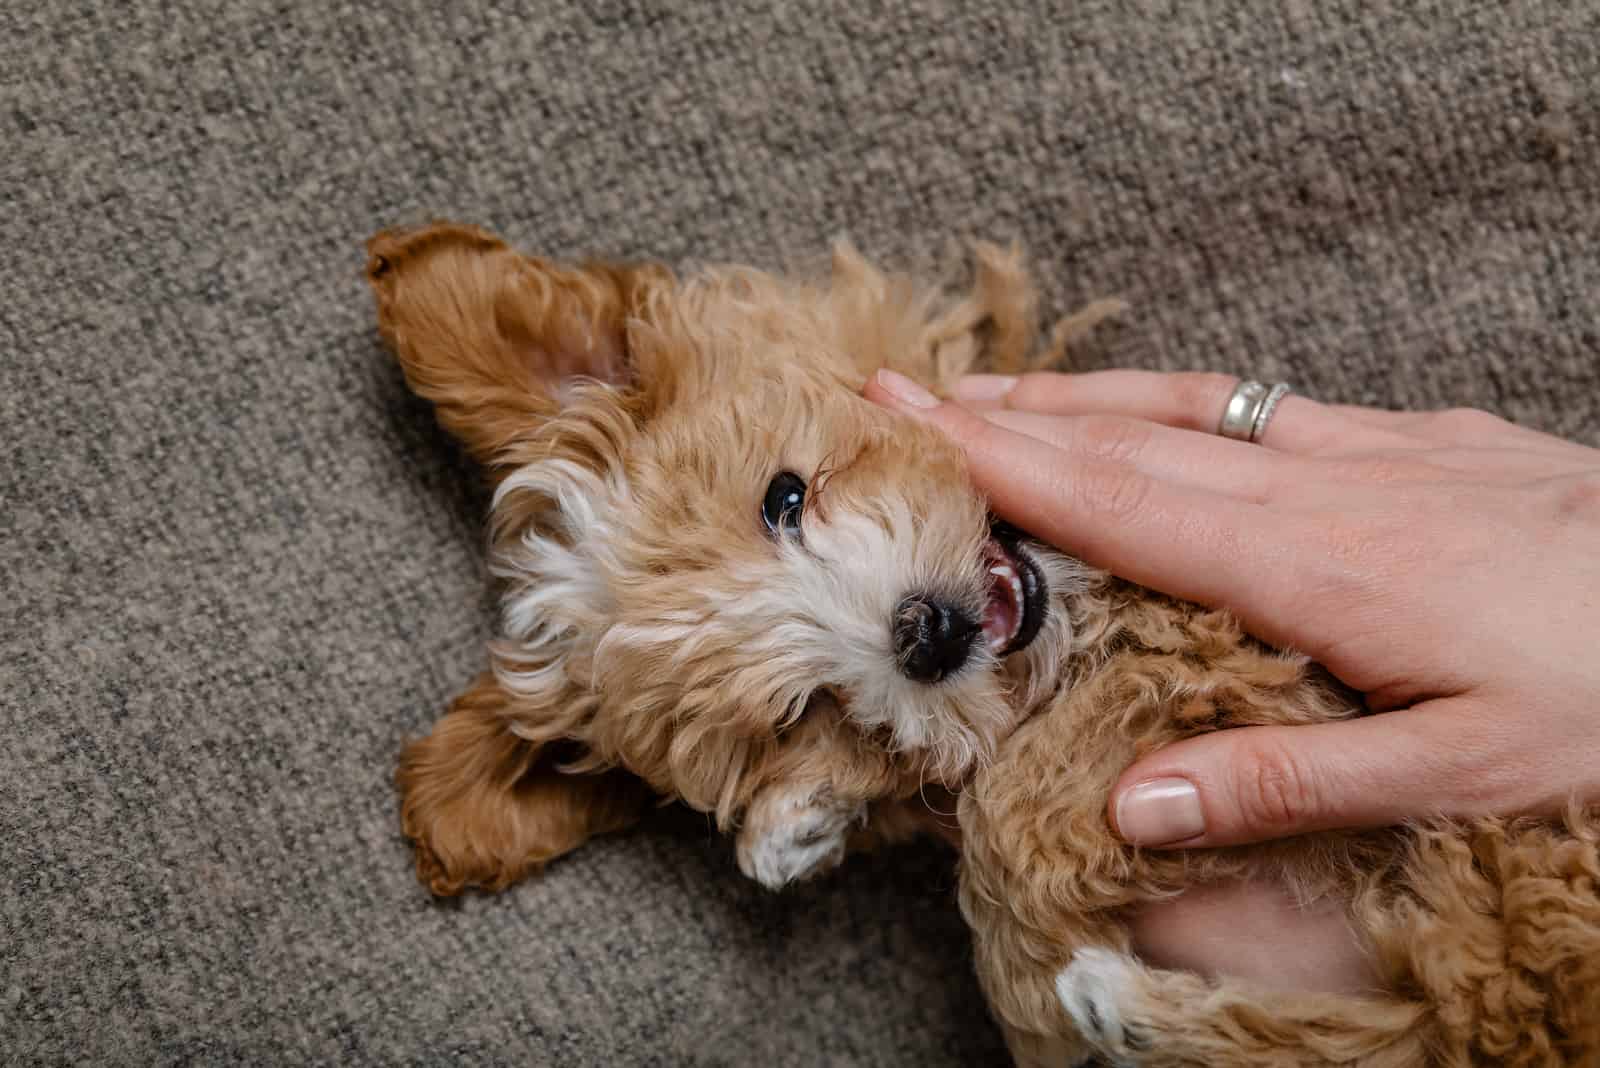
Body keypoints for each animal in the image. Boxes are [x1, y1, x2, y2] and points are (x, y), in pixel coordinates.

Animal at [366, 223, 1600, 1068]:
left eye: (783, 496)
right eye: (791, 714)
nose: (925, 632)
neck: (1078, 619)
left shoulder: (1258, 656)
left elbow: (1012, 814)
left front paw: (1026, 934)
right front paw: (805, 816)